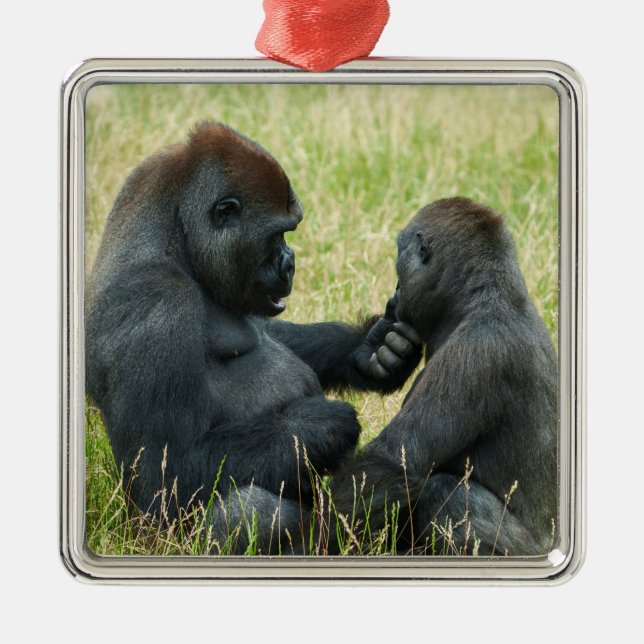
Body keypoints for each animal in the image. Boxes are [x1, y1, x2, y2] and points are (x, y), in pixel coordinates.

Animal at [85, 122, 421, 552]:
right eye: (277, 235)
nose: (291, 263)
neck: (174, 237)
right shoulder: (156, 302)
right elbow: (165, 473)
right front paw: (319, 425)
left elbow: (274, 333)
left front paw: (371, 350)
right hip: (153, 541)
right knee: (246, 507)